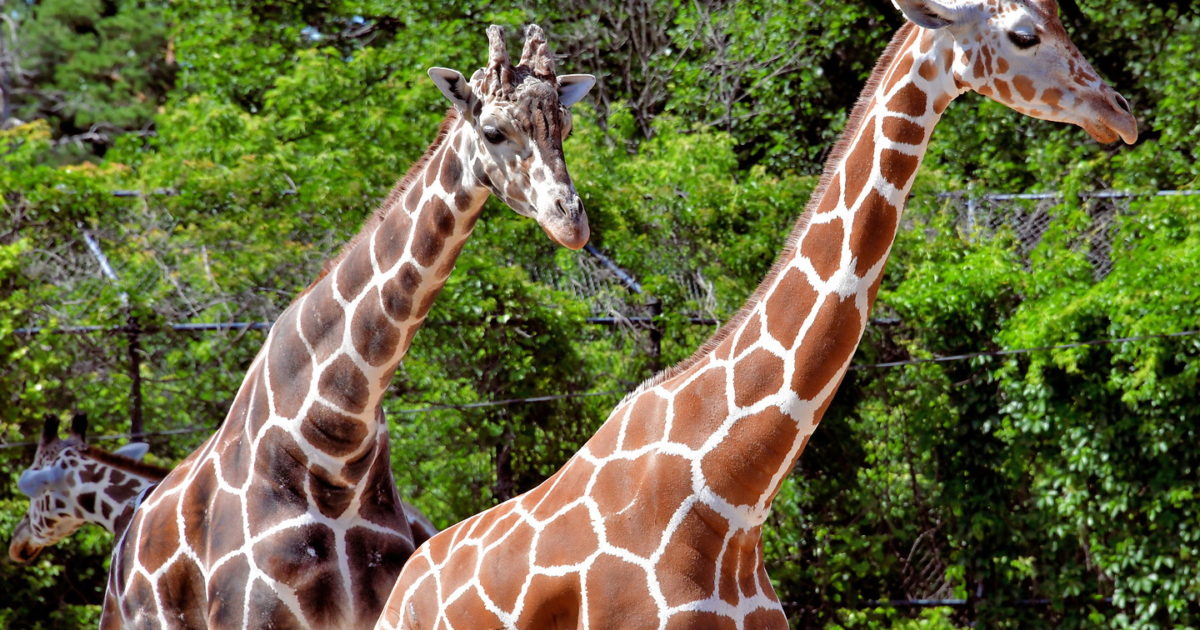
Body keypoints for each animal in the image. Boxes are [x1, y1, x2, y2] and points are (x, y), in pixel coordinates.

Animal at [101, 24, 595, 629]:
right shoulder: (253, 614)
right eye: (493, 131)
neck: (335, 444)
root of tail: (126, 549)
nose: (571, 222)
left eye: (565, 127)